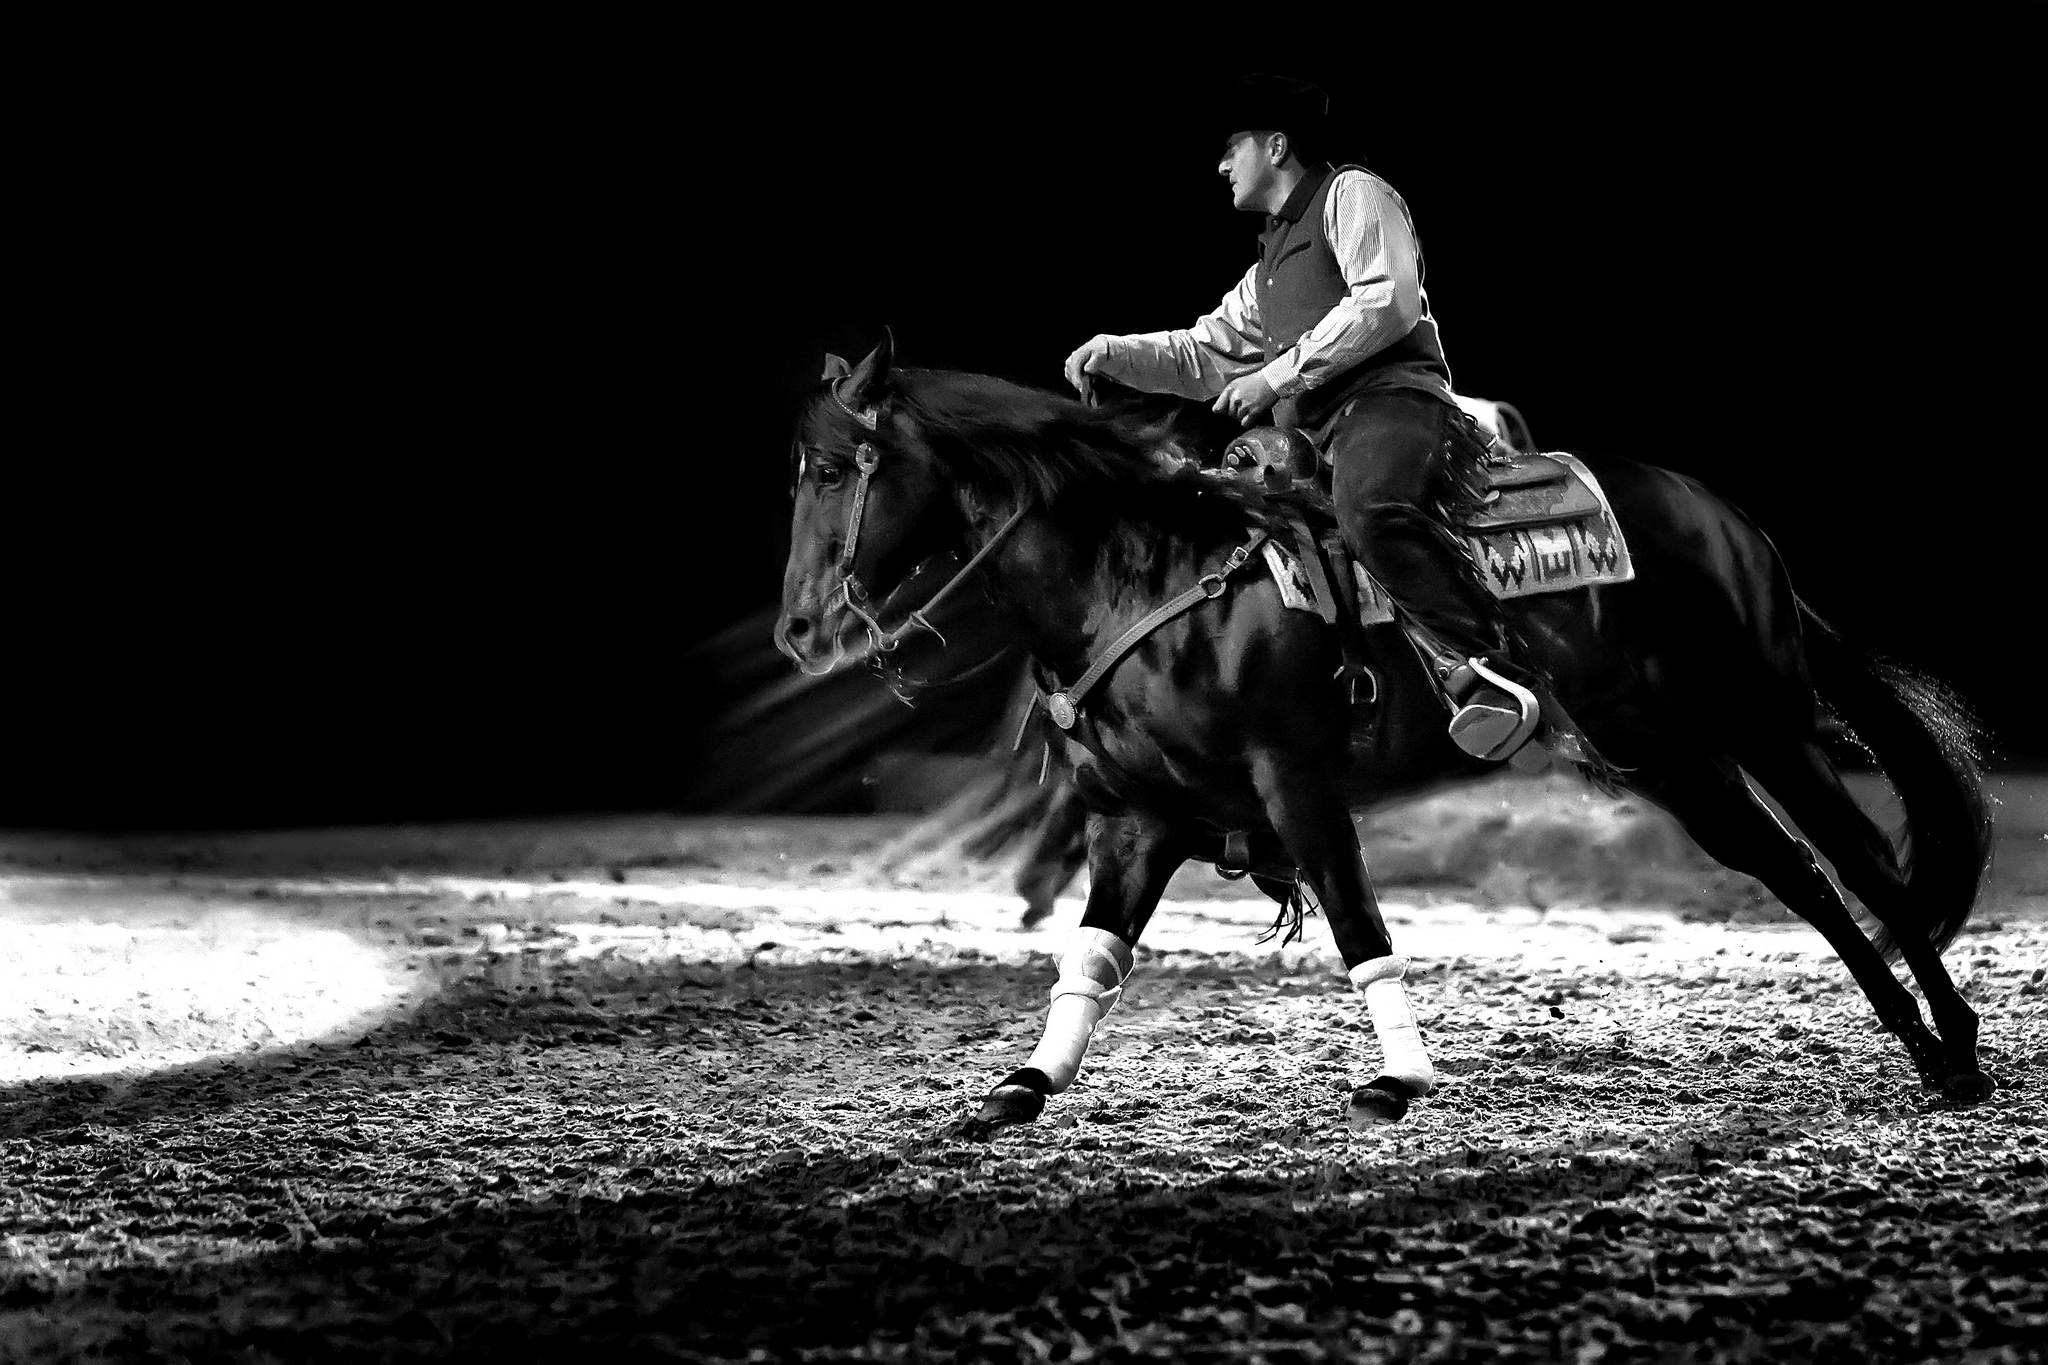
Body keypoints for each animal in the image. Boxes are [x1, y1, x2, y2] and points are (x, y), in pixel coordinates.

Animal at [776, 334, 1997, 1133]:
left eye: (836, 468)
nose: (797, 628)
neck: (1148, 576)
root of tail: (1726, 519)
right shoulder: (1132, 819)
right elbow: (1091, 953)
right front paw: (1022, 1085)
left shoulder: (1298, 783)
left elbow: (1360, 926)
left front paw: (1400, 1079)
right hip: (1671, 755)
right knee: (1795, 873)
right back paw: (1922, 1041)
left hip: (1762, 717)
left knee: (1864, 865)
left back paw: (1958, 1054)